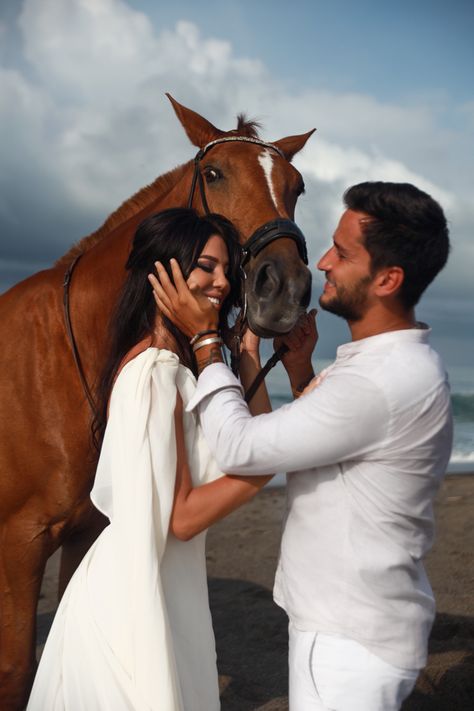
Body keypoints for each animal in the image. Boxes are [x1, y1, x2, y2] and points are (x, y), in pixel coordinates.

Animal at [0, 96, 314, 711]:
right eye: (214, 174)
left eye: (297, 187)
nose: (284, 291)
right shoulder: (20, 543)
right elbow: (18, 669)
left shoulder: (87, 532)